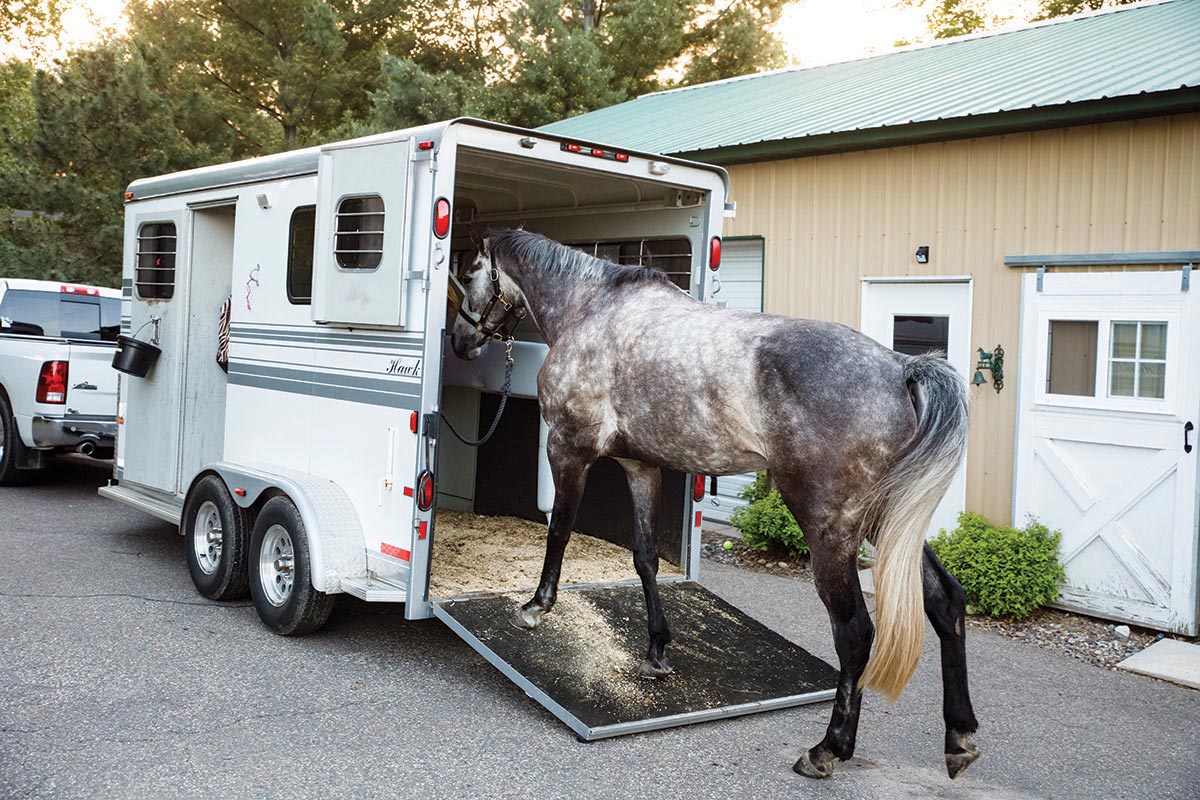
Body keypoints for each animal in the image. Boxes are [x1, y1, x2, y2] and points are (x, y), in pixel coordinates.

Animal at [451, 227, 984, 777]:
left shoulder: (568, 450)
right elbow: (644, 558)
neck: (591, 308)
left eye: (468, 273)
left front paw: (536, 607)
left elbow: (558, 529)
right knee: (944, 599)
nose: (460, 341)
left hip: (832, 526)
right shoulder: (640, 467)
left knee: (855, 632)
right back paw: (958, 736)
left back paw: (827, 749)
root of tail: (902, 367)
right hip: (887, 519)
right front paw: (656, 651)